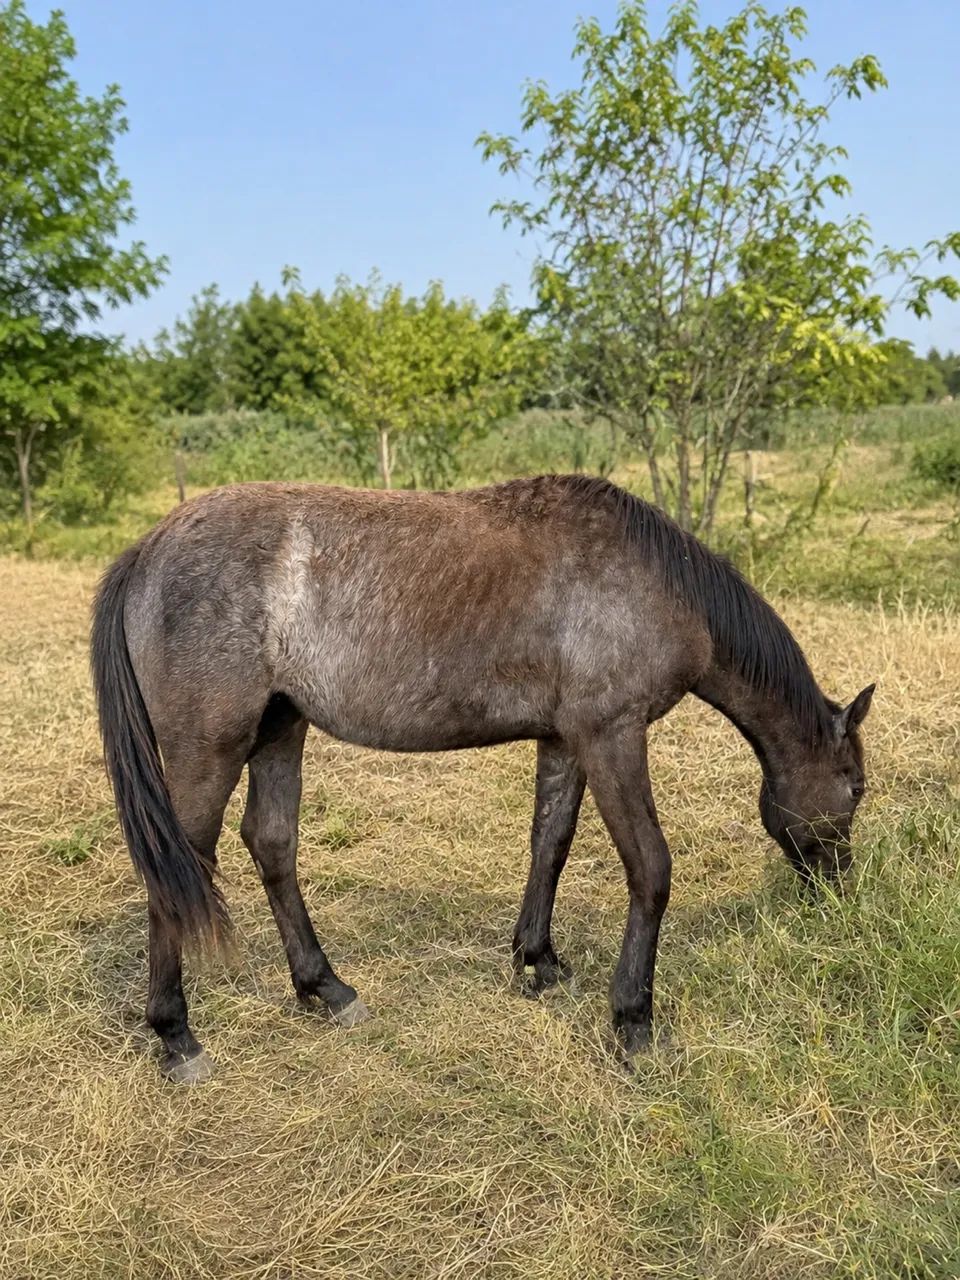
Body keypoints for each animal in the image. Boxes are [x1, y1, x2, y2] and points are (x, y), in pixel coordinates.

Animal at [91, 474, 874, 1083]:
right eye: (856, 787)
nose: (838, 890)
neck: (654, 581)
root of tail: (147, 548)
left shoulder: (566, 741)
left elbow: (550, 844)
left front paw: (538, 962)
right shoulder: (612, 736)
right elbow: (650, 870)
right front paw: (634, 1022)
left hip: (281, 728)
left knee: (272, 843)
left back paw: (327, 989)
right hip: (210, 748)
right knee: (179, 865)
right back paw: (177, 1036)